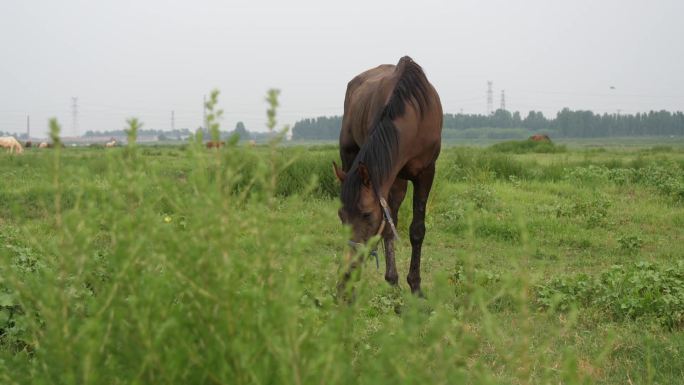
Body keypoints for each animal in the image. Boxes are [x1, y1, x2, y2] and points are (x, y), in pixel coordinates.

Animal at [332, 55, 444, 292]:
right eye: (341, 215)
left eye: (366, 214)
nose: (346, 277)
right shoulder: (390, 178)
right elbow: (388, 227)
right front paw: (393, 279)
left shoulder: (426, 173)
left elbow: (417, 230)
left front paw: (415, 285)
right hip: (350, 155)